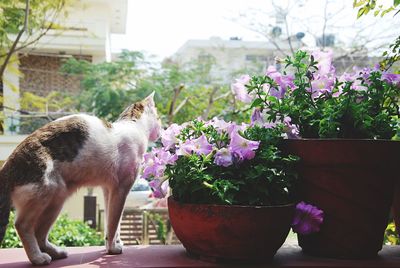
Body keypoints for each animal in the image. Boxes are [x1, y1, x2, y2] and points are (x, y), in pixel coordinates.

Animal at [0, 92, 161, 266]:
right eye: (158, 118)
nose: (162, 128)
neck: (133, 128)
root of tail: (7, 166)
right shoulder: (121, 188)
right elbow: (113, 223)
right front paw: (112, 248)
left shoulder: (108, 190)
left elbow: (111, 222)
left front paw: (113, 243)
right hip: (45, 192)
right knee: (22, 226)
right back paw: (38, 257)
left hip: (57, 198)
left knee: (39, 234)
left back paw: (55, 252)